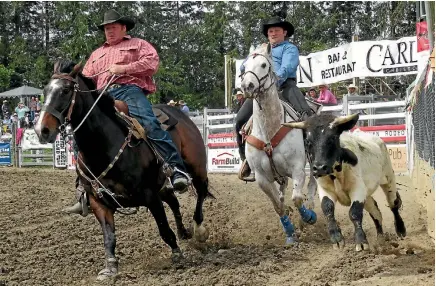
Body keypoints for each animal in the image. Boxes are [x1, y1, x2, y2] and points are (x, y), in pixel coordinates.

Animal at [35, 61, 212, 280]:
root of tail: (179, 112)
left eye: (66, 90)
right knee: (173, 201)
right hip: (163, 186)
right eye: (45, 91)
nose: (41, 130)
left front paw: (177, 255)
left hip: (197, 169)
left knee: (200, 194)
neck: (102, 146)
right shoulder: (98, 202)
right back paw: (184, 233)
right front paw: (110, 268)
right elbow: (109, 237)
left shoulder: (150, 196)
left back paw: (199, 230)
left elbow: (163, 228)